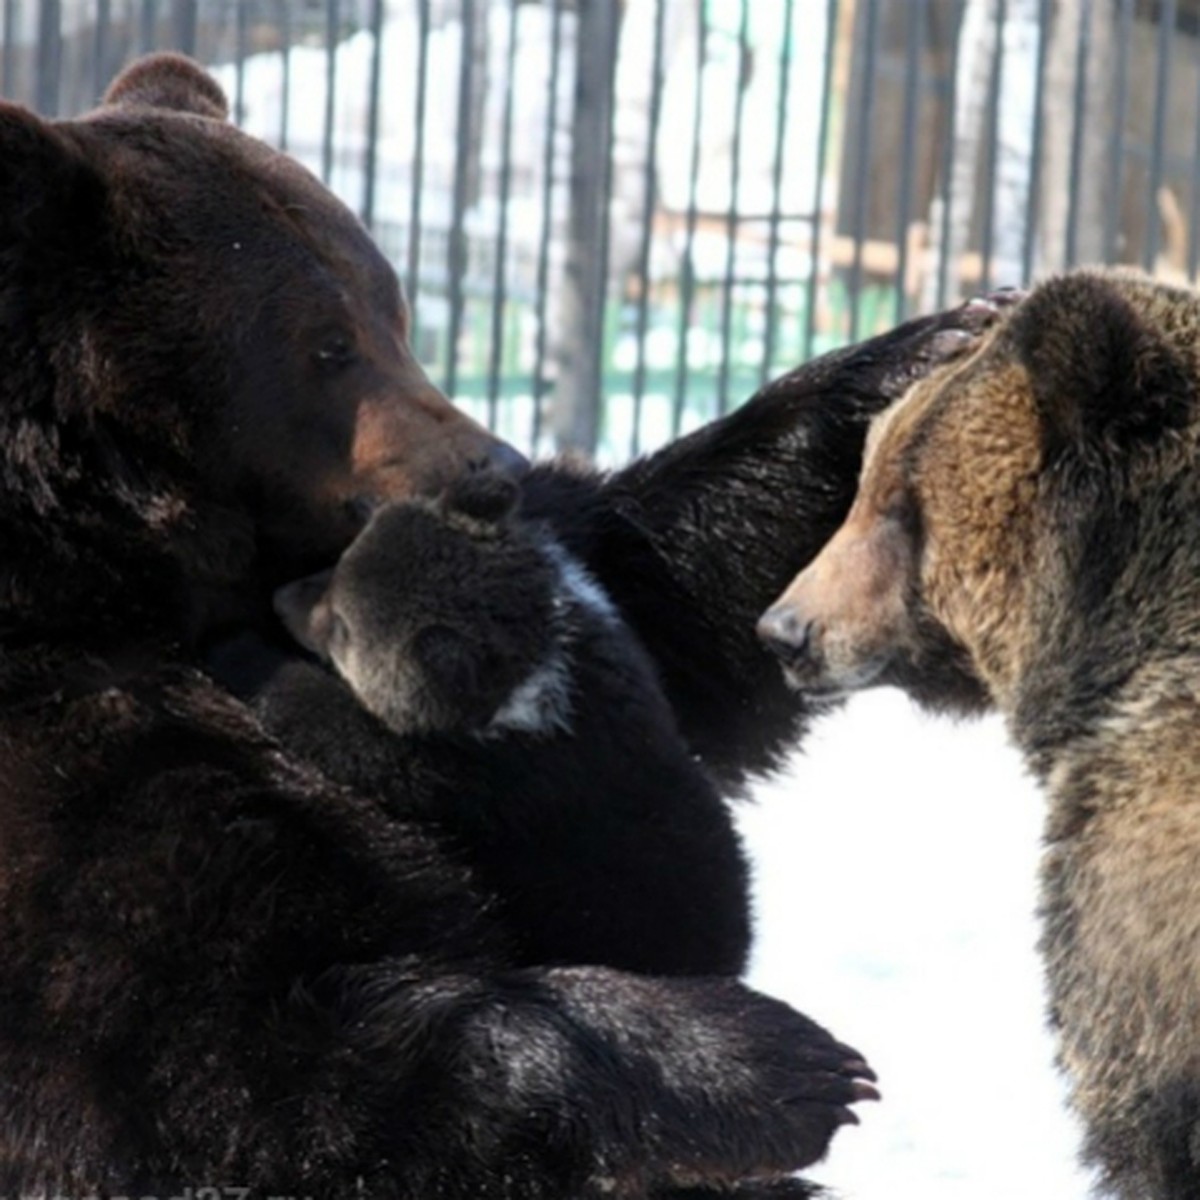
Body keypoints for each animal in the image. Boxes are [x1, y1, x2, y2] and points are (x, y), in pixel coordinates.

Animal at [0, 51, 993, 1195]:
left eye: (393, 306)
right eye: (325, 346)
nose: (497, 469)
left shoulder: (561, 600)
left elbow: (664, 585)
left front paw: (931, 346)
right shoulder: (79, 770)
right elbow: (227, 1058)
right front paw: (768, 1062)